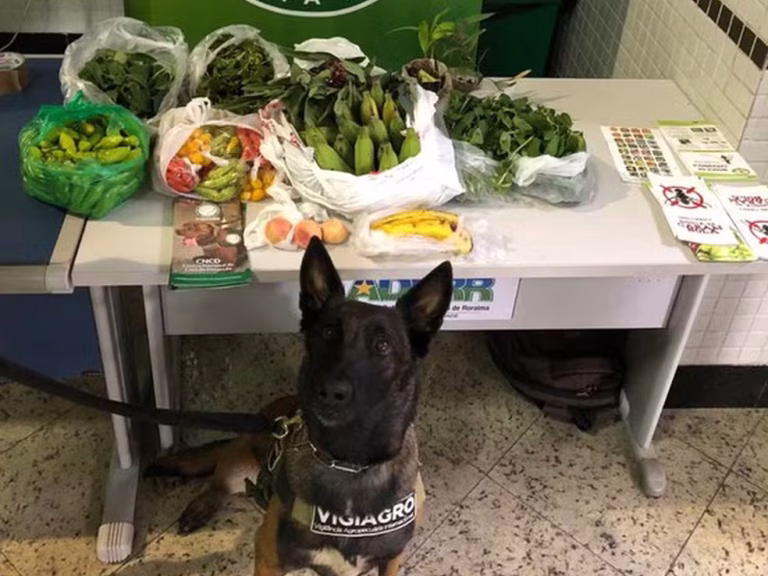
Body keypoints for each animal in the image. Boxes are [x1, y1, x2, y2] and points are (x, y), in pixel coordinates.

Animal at [147, 237, 454, 576]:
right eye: (328, 333)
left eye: (383, 346)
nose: (329, 392)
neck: (349, 462)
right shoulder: (269, 557)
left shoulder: (391, 559)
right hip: (239, 465)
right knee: (219, 483)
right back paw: (202, 506)